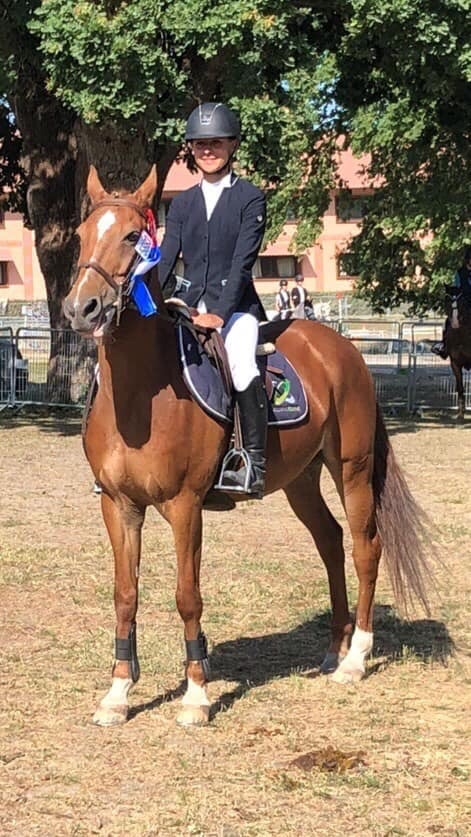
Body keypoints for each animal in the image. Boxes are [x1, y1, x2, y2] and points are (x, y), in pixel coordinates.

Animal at [62, 165, 436, 724]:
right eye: (83, 235)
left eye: (132, 237)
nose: (81, 309)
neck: (141, 394)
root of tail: (341, 346)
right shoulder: (119, 504)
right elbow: (125, 594)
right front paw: (118, 693)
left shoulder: (185, 505)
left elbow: (187, 595)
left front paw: (196, 695)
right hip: (301, 478)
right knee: (329, 541)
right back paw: (333, 648)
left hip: (351, 467)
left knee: (365, 546)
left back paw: (355, 658)